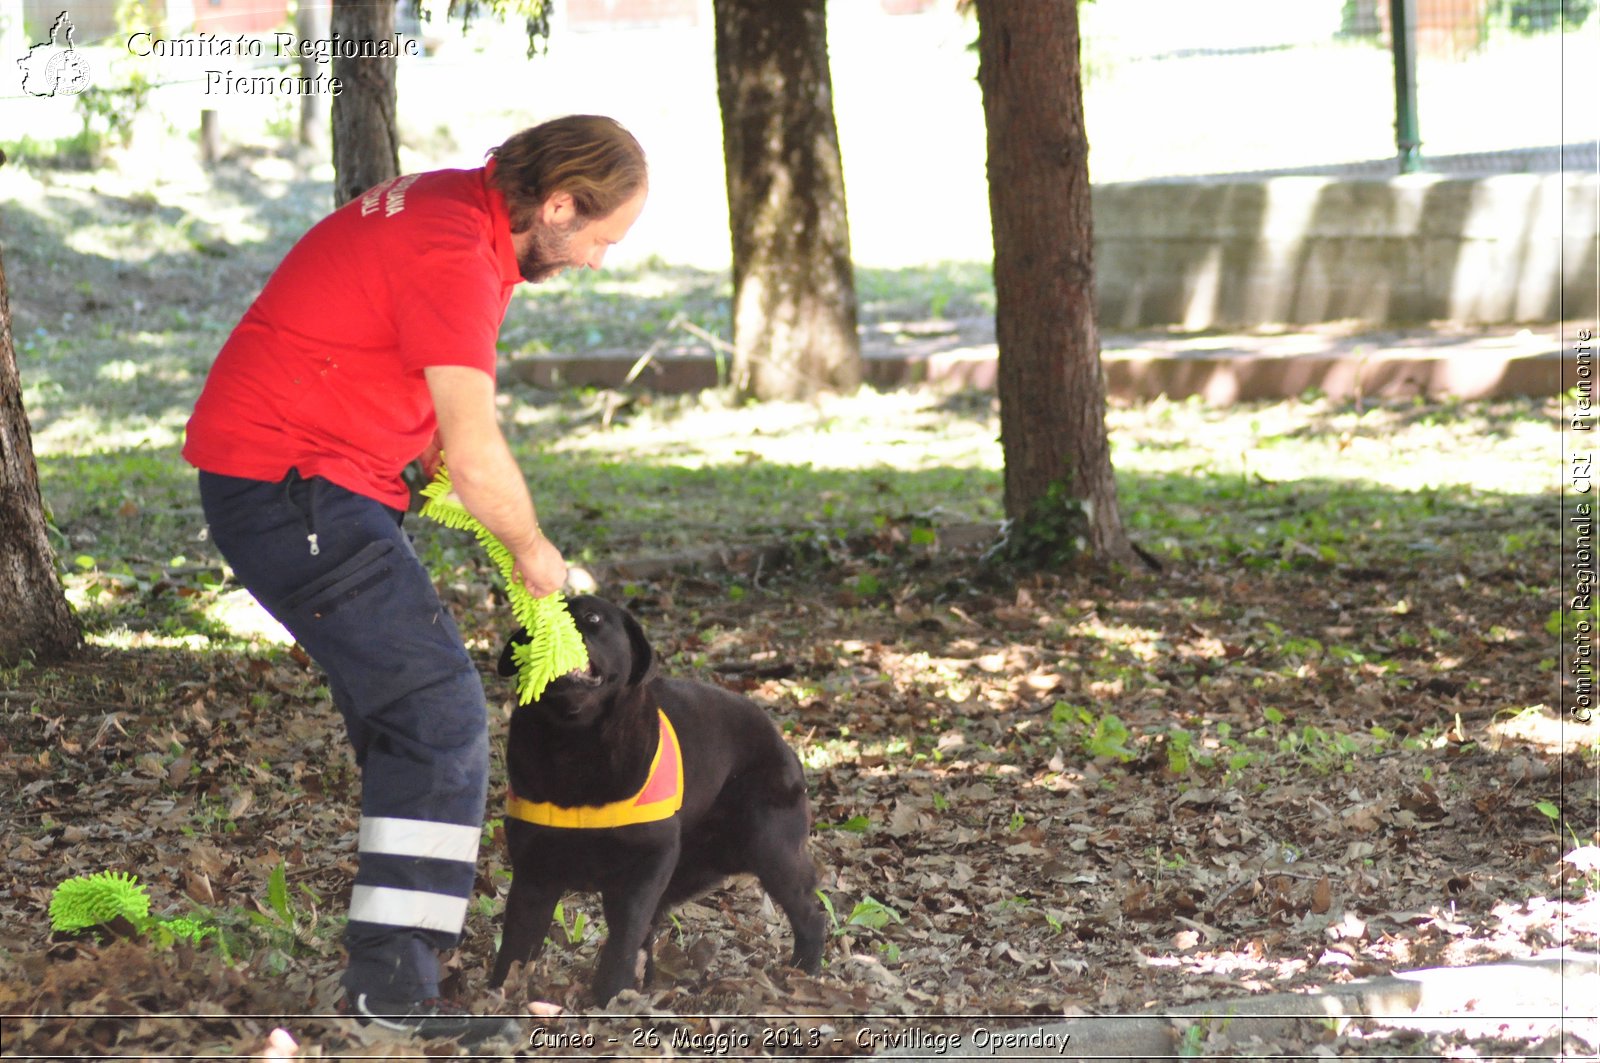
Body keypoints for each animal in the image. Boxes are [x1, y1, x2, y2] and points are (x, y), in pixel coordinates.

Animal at [486, 598, 825, 1005]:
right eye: (533, 620)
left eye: (592, 618)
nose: (549, 626)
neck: (574, 741)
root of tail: (780, 739)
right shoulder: (535, 868)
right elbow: (518, 940)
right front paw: (500, 993)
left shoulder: (644, 865)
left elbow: (624, 935)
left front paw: (610, 996)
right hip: (692, 867)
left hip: (771, 849)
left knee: (808, 911)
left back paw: (805, 971)